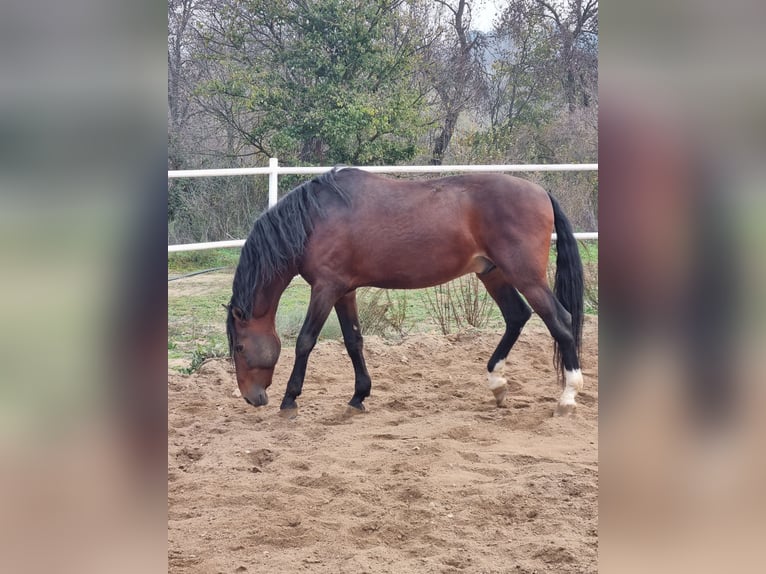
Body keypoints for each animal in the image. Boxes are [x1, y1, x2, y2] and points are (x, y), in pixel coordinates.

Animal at [225, 169, 584, 416]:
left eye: (240, 347)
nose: (252, 397)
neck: (314, 219)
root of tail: (541, 192)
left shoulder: (325, 288)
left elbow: (305, 341)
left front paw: (290, 399)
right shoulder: (344, 291)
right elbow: (353, 342)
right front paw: (359, 395)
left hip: (526, 277)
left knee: (561, 322)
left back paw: (567, 397)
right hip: (493, 273)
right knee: (517, 316)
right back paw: (497, 384)